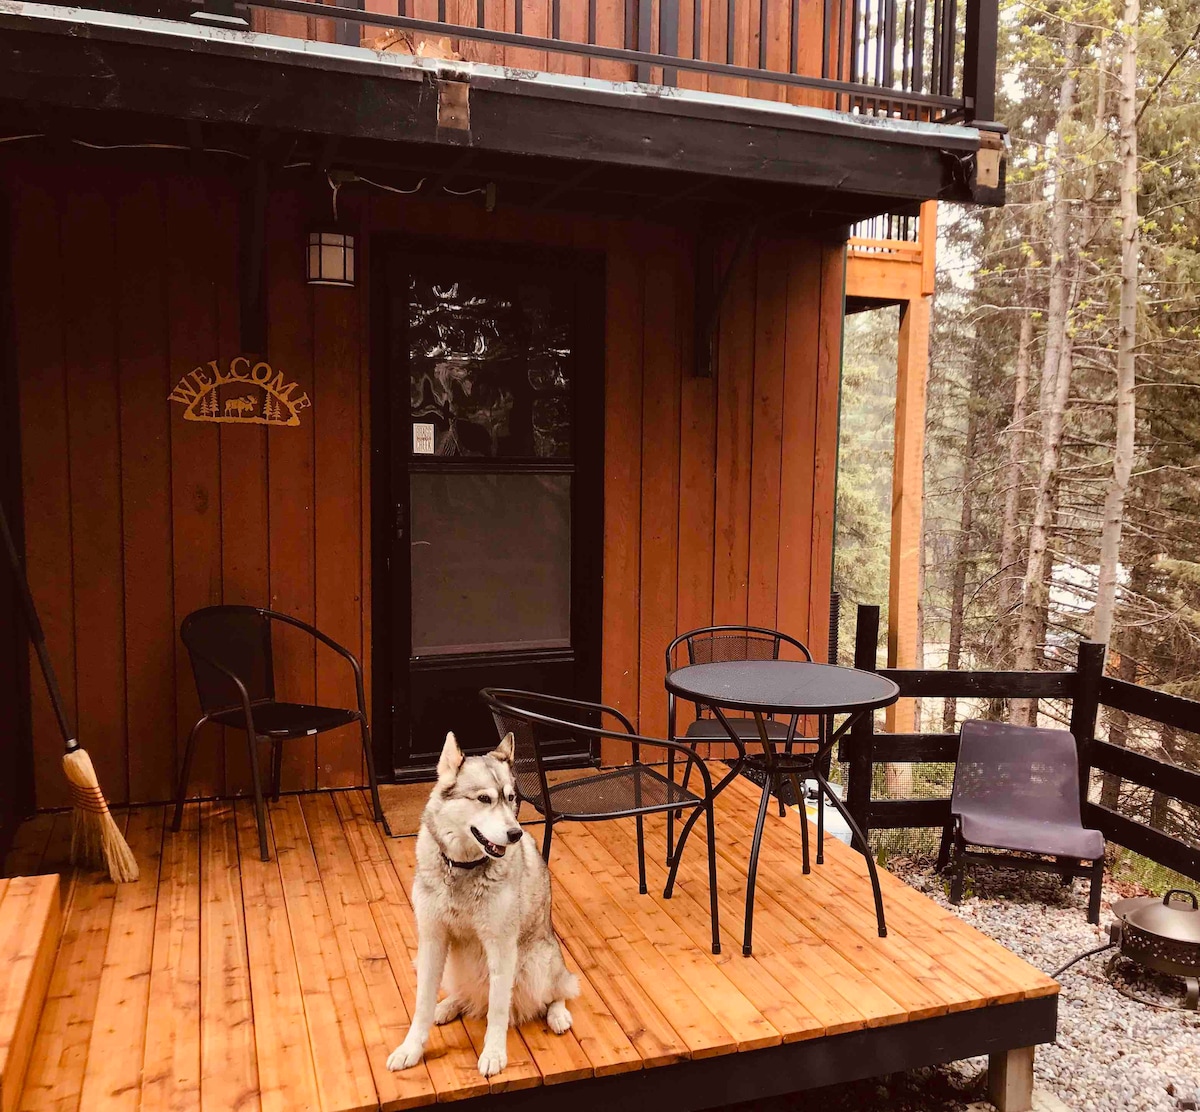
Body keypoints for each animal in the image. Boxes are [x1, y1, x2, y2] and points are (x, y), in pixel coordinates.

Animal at [386, 729, 578, 1079]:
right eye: (484, 799)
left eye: (511, 798)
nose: (515, 834)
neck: (462, 868)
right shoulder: (432, 941)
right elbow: (421, 1005)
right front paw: (410, 1049)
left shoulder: (501, 946)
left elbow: (498, 1010)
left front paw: (494, 1053)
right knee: (466, 994)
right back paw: (449, 1005)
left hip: (536, 962)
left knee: (560, 990)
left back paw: (557, 1014)